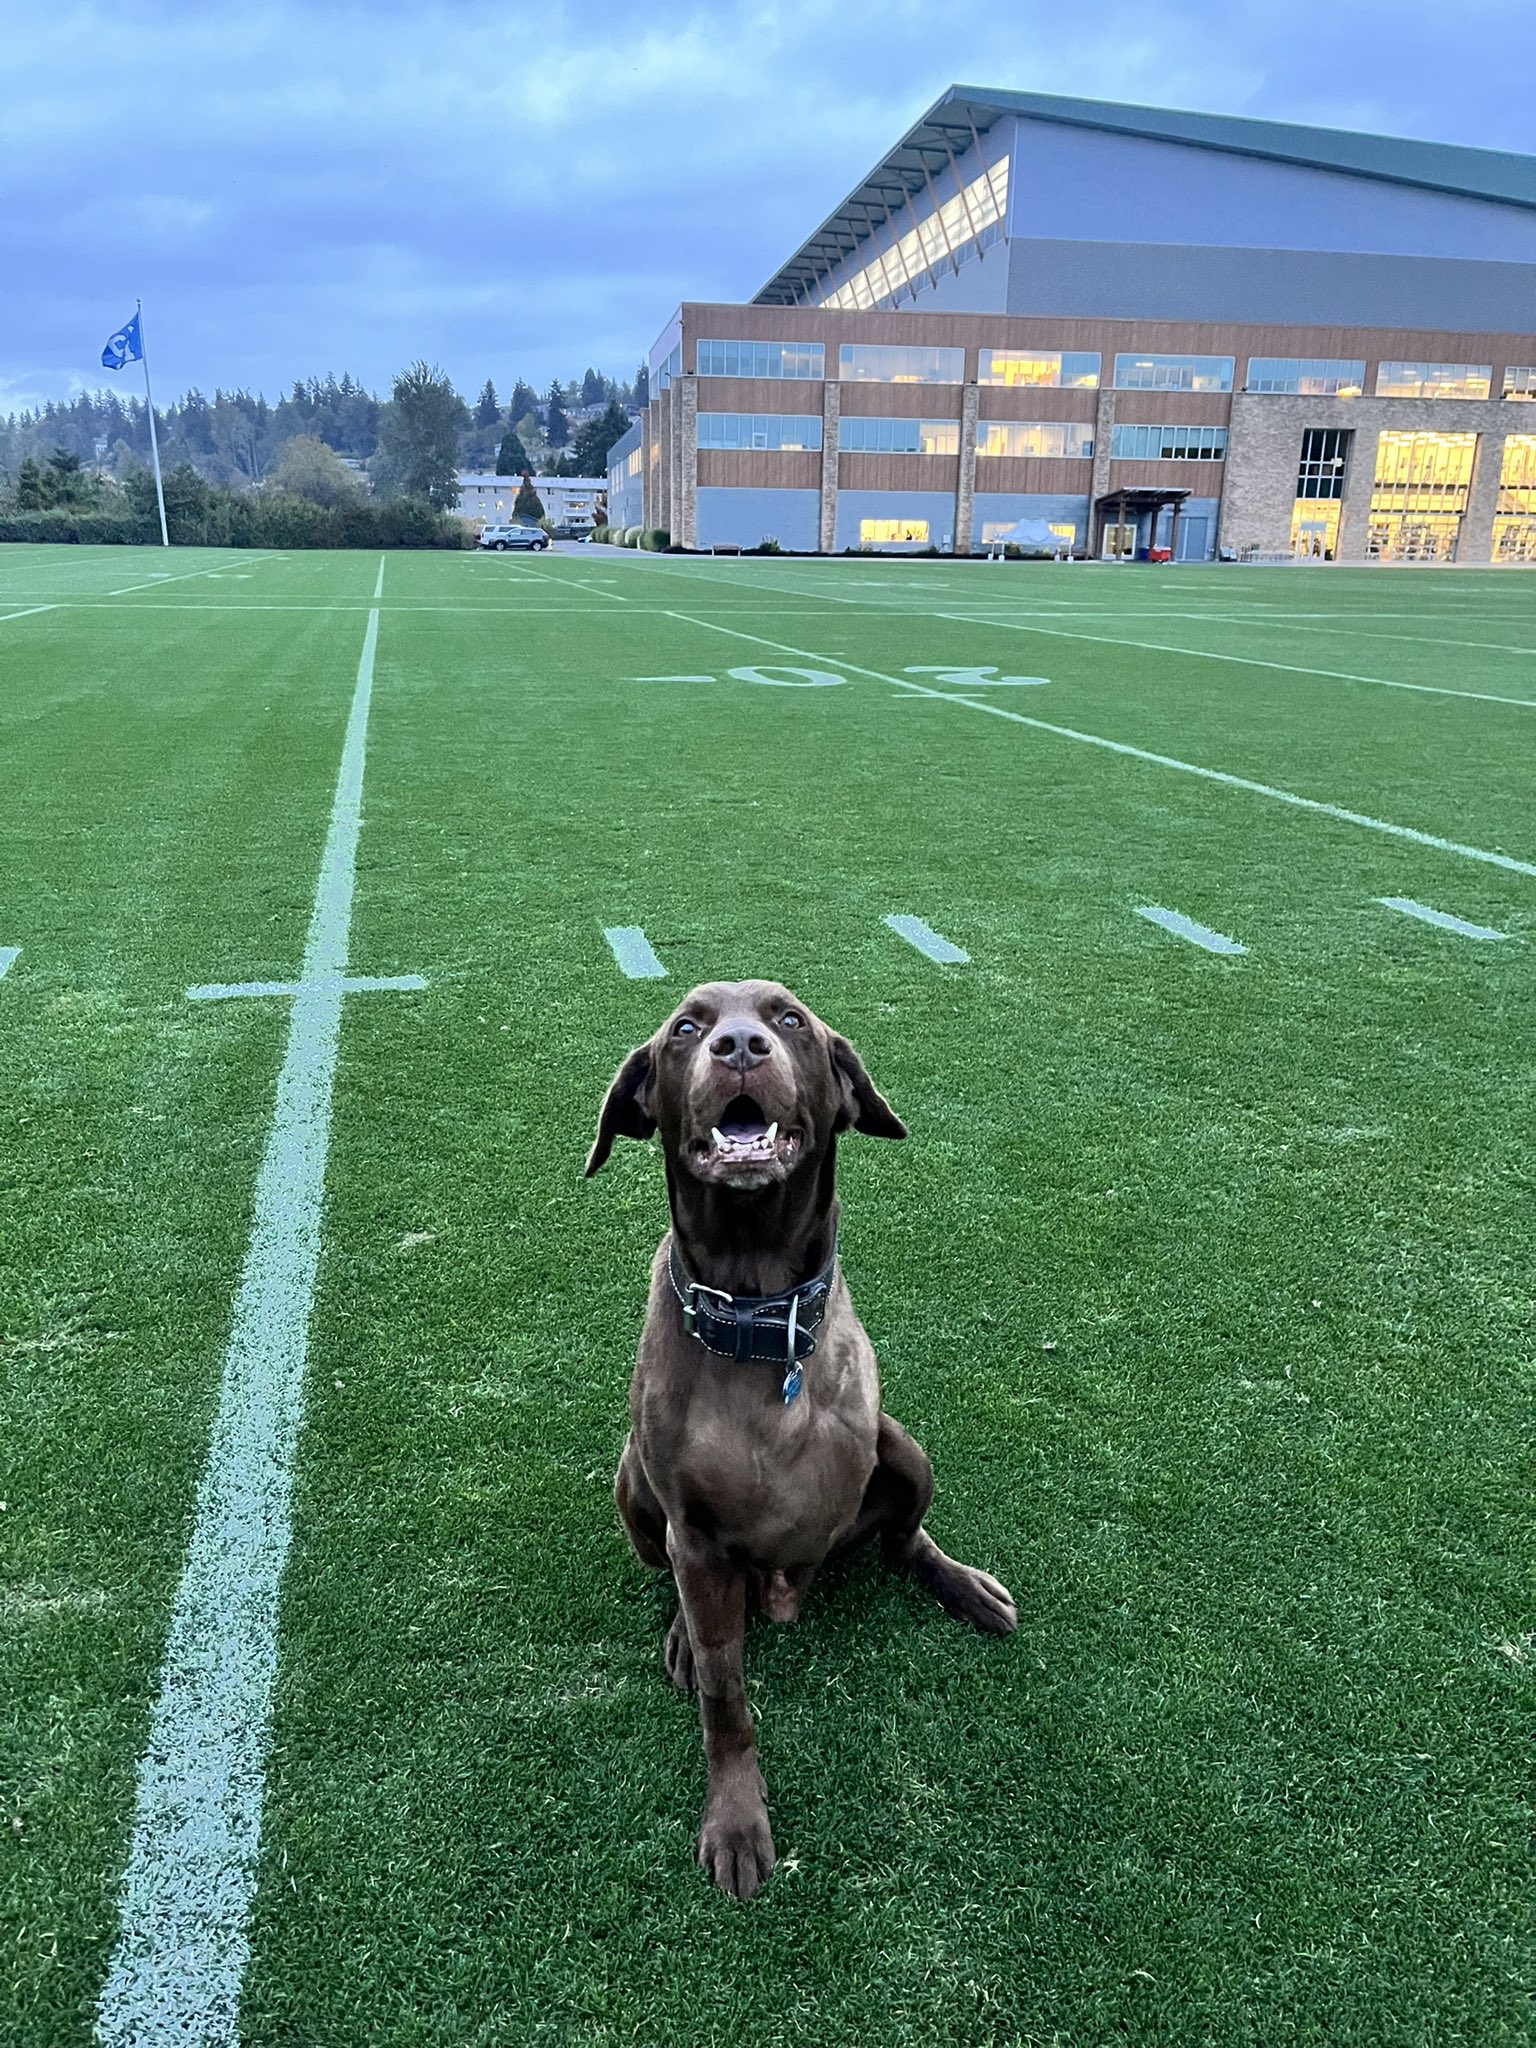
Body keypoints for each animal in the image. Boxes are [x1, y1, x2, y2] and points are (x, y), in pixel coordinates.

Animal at [593, 983, 1024, 1892]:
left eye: (789, 1019)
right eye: (686, 1027)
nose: (737, 1047)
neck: (759, 1317)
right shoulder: (692, 1532)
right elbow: (725, 1696)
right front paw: (735, 1819)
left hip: (906, 1451)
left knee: (904, 1541)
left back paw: (965, 1587)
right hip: (630, 1483)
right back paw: (683, 1635)